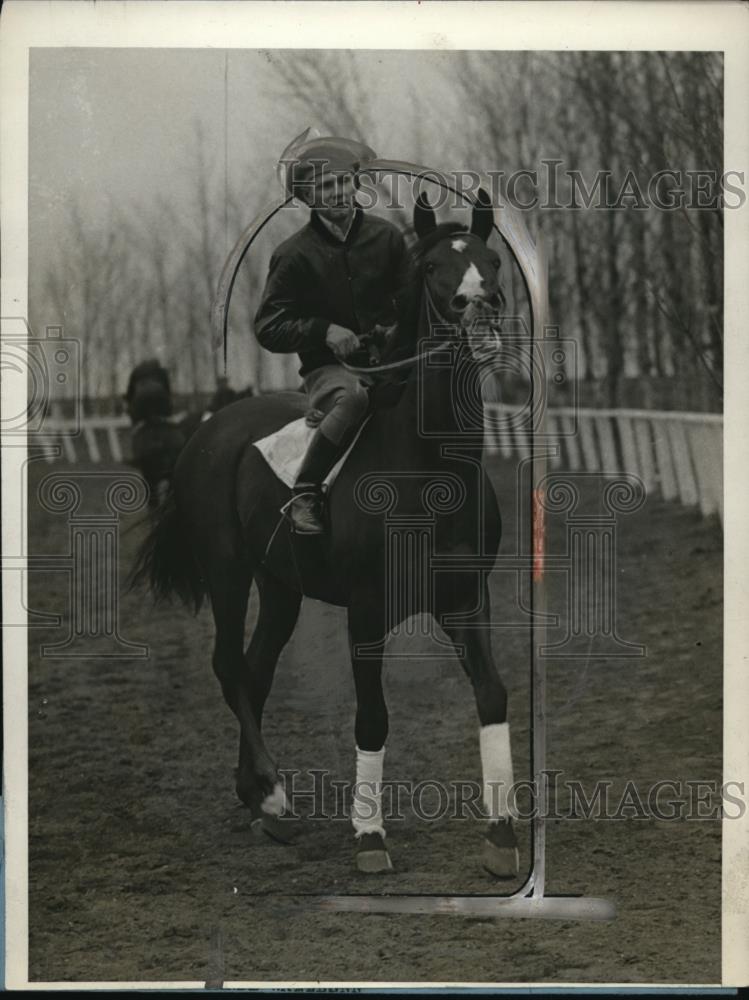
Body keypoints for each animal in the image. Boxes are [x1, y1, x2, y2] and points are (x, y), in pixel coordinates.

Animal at [133, 191, 520, 880]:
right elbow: (372, 717)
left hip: (280, 587)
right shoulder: (365, 609)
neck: (431, 468)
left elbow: (492, 695)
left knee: (255, 671)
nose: (479, 307)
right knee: (229, 665)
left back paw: (258, 797)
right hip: (227, 571)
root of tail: (207, 431)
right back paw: (273, 793)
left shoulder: (465, 598)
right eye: (431, 268)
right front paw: (369, 836)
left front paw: (502, 836)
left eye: (492, 259)